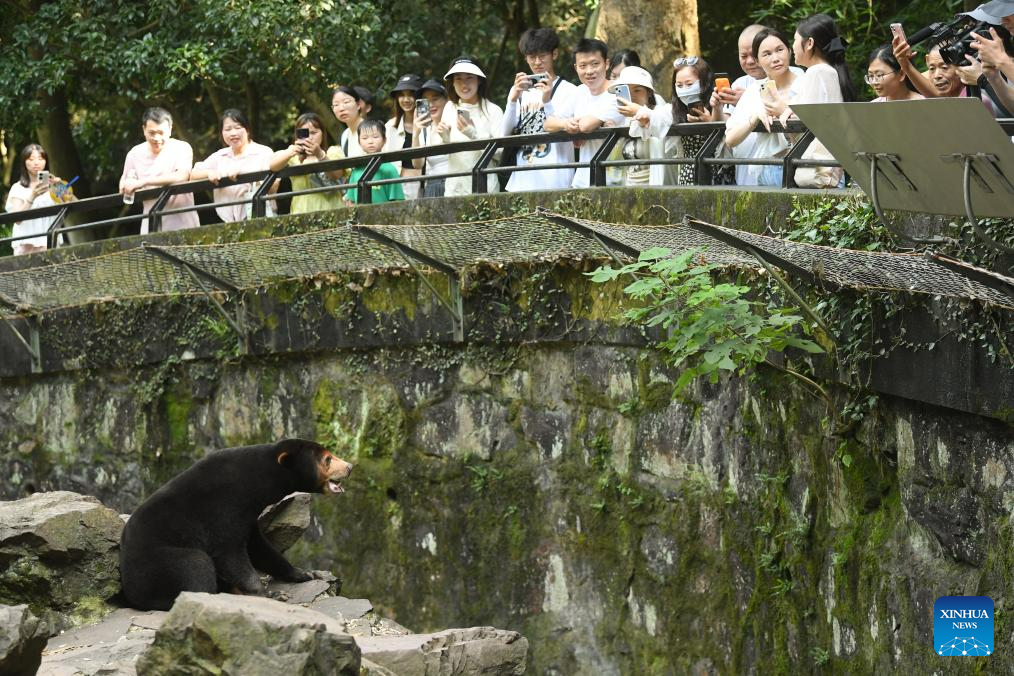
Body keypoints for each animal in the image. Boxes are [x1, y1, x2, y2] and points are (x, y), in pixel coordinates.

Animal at [119, 438, 353, 611]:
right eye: (328, 459)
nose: (350, 466)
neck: (258, 481)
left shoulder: (248, 517)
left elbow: (260, 548)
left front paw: (306, 573)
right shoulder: (224, 507)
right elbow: (231, 553)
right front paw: (272, 594)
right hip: (157, 564)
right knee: (195, 566)